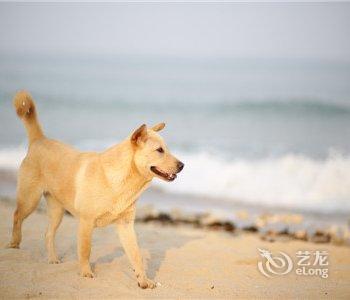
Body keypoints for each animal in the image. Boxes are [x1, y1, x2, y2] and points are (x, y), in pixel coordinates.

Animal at [7, 91, 183, 288]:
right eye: (160, 150)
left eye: (167, 149)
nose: (182, 165)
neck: (121, 180)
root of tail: (39, 139)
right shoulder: (86, 222)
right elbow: (85, 251)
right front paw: (85, 273)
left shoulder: (126, 226)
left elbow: (136, 256)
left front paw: (143, 280)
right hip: (29, 200)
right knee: (17, 216)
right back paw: (14, 244)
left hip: (57, 211)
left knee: (48, 234)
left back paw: (52, 259)